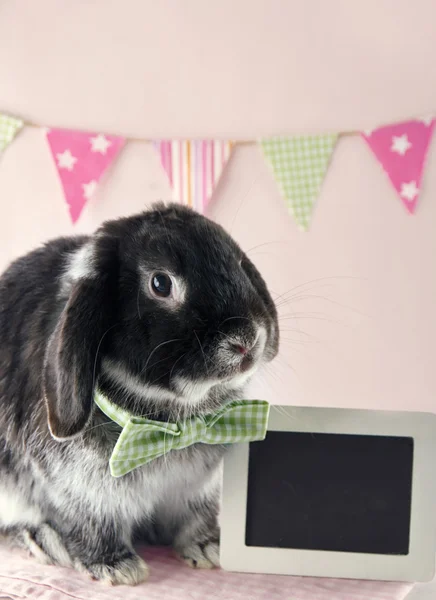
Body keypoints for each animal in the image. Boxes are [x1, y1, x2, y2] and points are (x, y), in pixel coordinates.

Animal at [0, 204, 280, 584]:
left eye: (238, 262)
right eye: (160, 283)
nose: (247, 340)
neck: (171, 421)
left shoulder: (197, 491)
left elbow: (196, 520)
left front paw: (209, 549)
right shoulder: (82, 494)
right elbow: (93, 525)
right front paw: (118, 569)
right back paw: (42, 540)